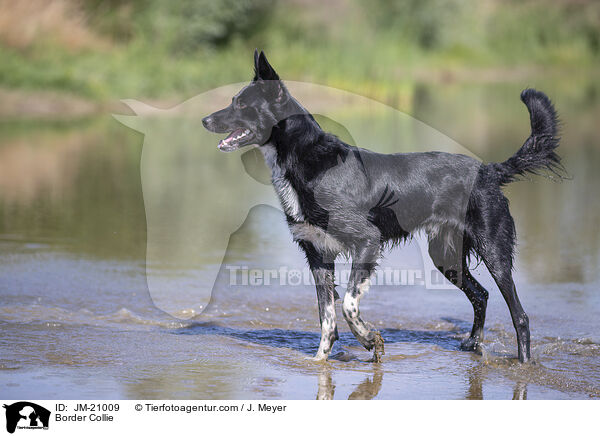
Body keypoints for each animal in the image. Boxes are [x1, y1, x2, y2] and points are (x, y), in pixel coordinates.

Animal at [204, 49, 564, 362]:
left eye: (240, 103)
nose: (205, 120)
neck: (304, 159)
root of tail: (489, 170)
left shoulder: (367, 240)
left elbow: (348, 305)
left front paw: (369, 340)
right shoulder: (317, 254)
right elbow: (326, 318)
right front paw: (320, 361)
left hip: (493, 250)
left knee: (520, 315)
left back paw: (523, 362)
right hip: (446, 256)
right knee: (481, 296)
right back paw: (472, 345)